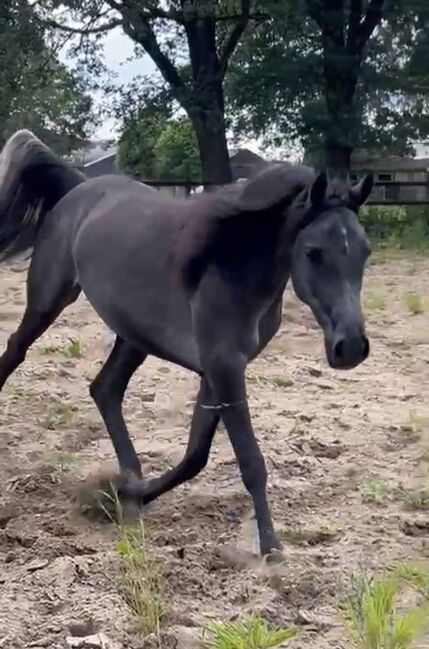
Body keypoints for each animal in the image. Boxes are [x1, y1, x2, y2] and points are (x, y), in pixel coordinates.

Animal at [0, 132, 372, 556]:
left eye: (365, 252)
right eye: (313, 252)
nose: (351, 346)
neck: (230, 264)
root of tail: (78, 189)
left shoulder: (217, 371)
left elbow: (196, 455)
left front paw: (129, 494)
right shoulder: (223, 366)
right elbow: (249, 460)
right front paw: (271, 547)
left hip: (134, 335)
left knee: (105, 389)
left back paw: (129, 477)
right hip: (49, 300)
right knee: (17, 350)